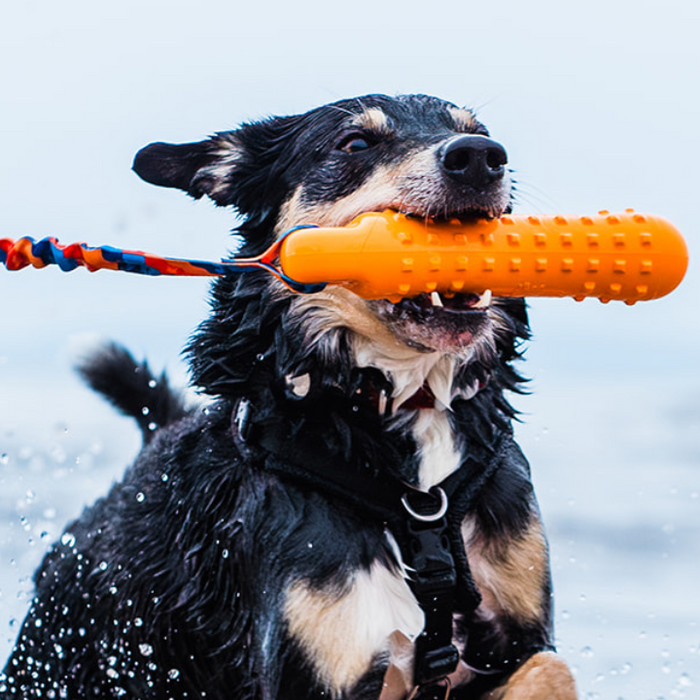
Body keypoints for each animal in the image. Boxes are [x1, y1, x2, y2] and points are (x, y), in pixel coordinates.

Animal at [1, 94, 576, 700]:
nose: (480, 158)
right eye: (356, 142)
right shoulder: (317, 667)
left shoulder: (512, 636)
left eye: (477, 129)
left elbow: (551, 667)